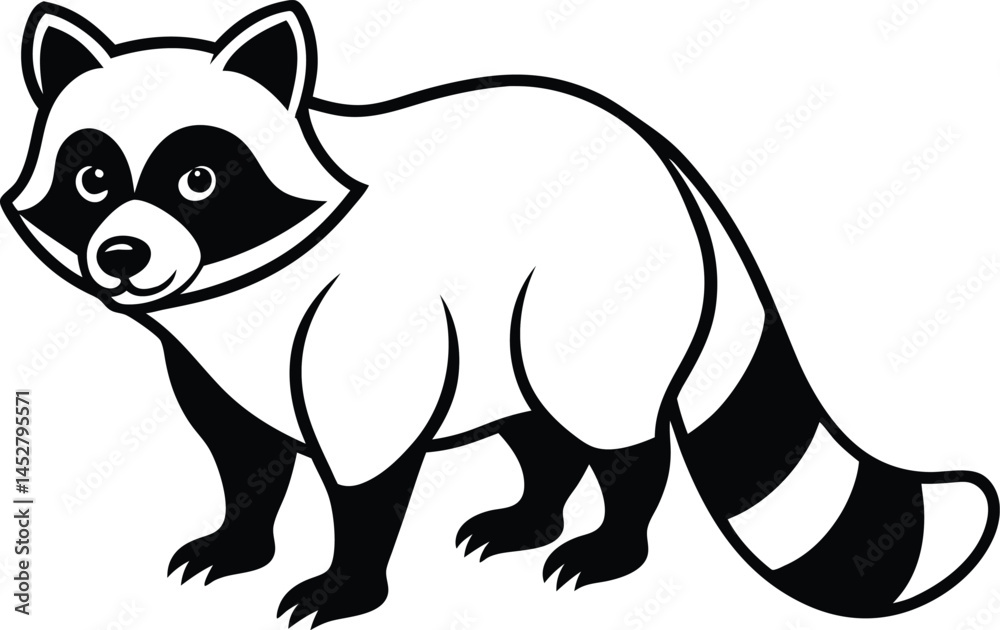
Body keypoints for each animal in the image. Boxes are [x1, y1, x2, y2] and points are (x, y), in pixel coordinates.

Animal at [4, 2, 997, 627]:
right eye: (93, 179)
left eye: (200, 178)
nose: (123, 256)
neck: (236, 288)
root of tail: (665, 158)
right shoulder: (210, 356)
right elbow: (242, 454)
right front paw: (241, 537)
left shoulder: (364, 318)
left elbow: (365, 472)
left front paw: (348, 579)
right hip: (501, 332)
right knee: (538, 430)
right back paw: (533, 514)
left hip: (588, 295)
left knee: (612, 435)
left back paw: (612, 539)